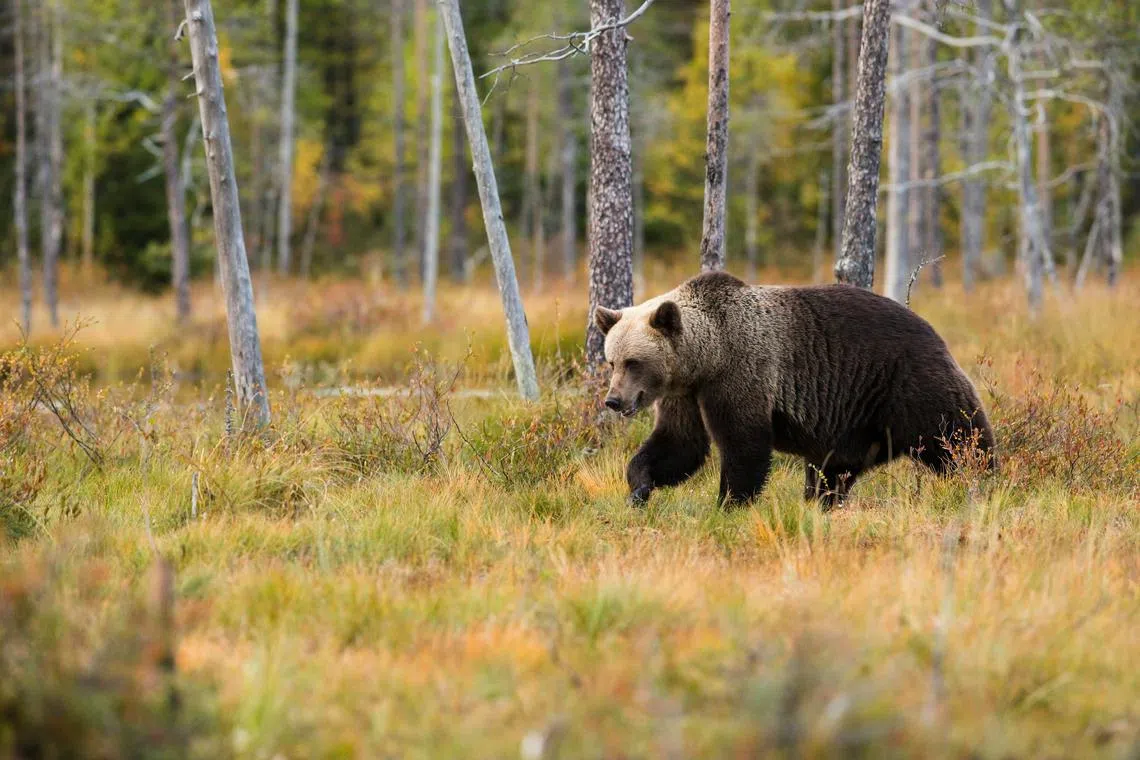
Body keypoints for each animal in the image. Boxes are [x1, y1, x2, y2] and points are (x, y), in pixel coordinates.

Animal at [595, 271, 995, 508]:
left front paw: (729, 503)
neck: (706, 357)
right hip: (853, 420)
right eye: (612, 361)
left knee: (957, 435)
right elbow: (679, 444)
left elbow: (744, 445)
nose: (613, 400)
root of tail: (933, 330)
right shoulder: (685, 394)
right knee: (833, 470)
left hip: (907, 383)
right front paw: (639, 488)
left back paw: (983, 479)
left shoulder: (741, 372)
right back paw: (822, 502)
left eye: (634, 362)